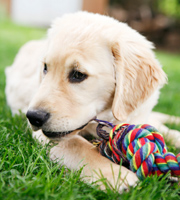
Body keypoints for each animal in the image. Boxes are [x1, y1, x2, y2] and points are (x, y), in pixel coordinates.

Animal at [4, 11, 180, 192]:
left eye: (78, 74)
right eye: (45, 68)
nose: (33, 117)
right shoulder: (46, 135)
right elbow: (77, 145)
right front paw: (117, 175)